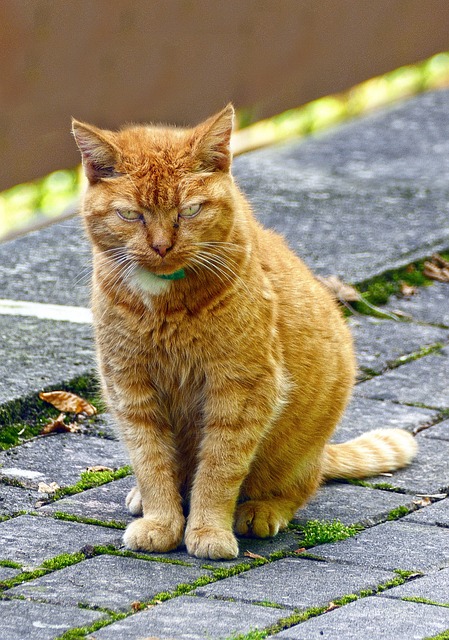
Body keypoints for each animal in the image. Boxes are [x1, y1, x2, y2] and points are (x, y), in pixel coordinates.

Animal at [71, 104, 416, 556]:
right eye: (131, 214)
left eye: (189, 211)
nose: (161, 246)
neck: (165, 305)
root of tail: (321, 453)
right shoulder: (130, 388)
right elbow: (151, 463)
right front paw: (161, 521)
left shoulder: (242, 391)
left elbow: (219, 470)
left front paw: (208, 531)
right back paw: (144, 499)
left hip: (298, 452)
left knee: (299, 488)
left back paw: (261, 511)